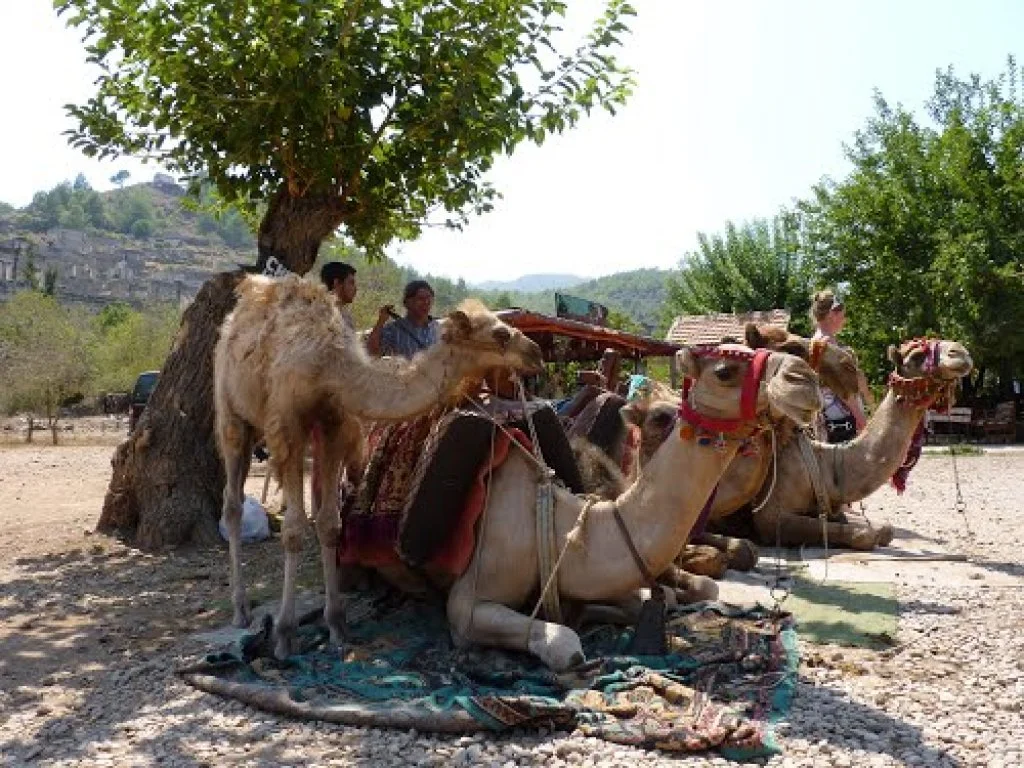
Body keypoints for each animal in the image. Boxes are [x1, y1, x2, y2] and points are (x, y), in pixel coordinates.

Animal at [213, 275, 544, 659]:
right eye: (500, 333)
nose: (536, 352)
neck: (330, 368)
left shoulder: (335, 424)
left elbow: (329, 525)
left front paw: (337, 625)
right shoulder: (288, 426)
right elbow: (294, 530)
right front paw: (283, 634)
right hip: (232, 413)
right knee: (232, 503)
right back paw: (240, 609)